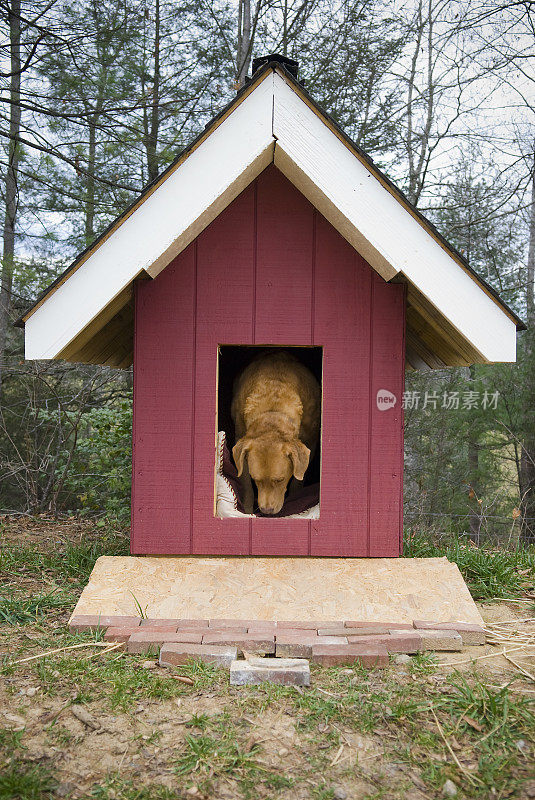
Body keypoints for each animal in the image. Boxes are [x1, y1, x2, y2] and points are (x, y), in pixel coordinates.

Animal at [232, 352, 320, 516]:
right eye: (256, 479)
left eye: (280, 480)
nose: (266, 511)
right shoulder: (239, 439)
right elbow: (245, 482)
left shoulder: (311, 441)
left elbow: (298, 480)